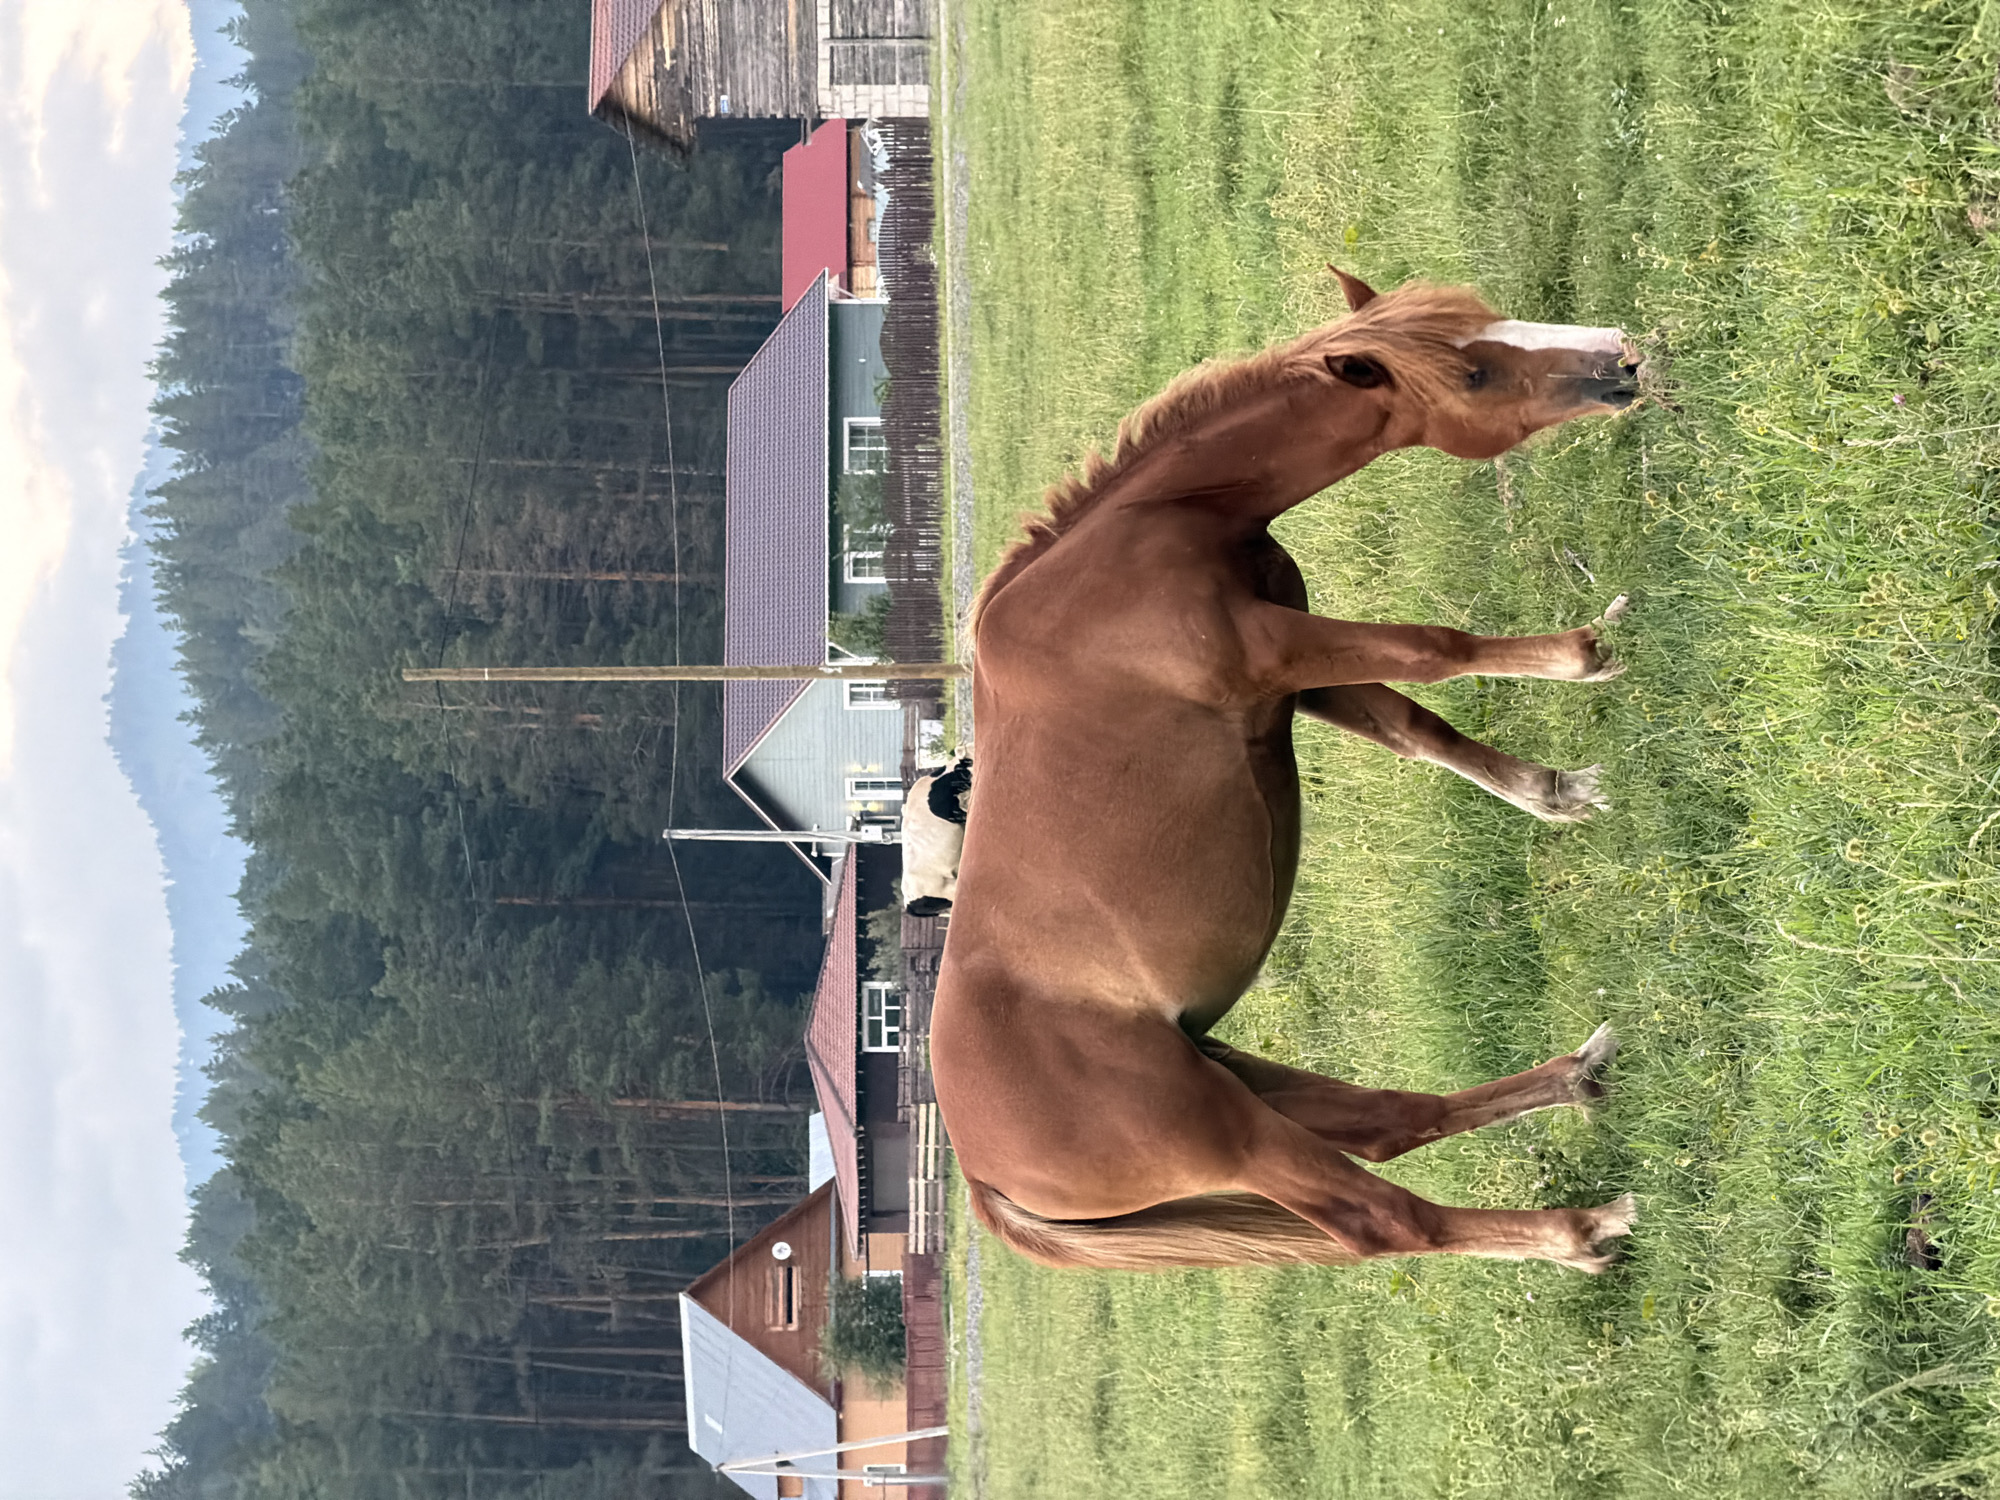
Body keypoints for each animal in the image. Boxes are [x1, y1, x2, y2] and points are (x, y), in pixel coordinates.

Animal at [929, 270, 1645, 1275]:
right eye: (1474, 371)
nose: (1620, 360)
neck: (1143, 541)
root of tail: (983, 1173)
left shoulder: (1295, 678)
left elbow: (1414, 725)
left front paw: (1552, 792)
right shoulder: (1277, 652)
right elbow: (1436, 651)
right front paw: (1587, 652)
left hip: (1240, 1078)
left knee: (1393, 1120)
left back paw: (1576, 1079)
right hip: (1230, 1134)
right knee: (1387, 1220)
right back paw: (1577, 1233)